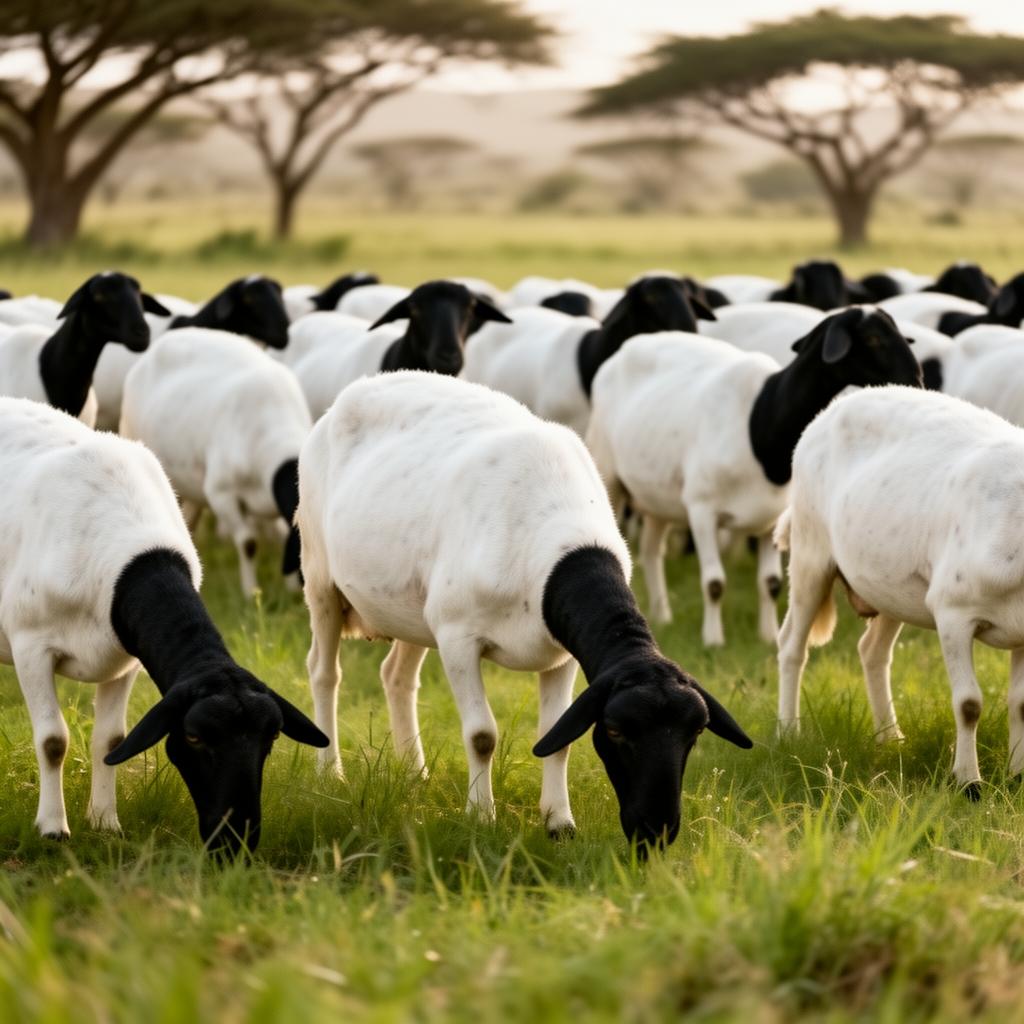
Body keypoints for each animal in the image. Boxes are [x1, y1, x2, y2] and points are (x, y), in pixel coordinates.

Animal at [0, 397, 326, 849]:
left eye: (272, 736)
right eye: (193, 736)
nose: (235, 839)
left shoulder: (123, 660)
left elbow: (110, 740)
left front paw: (105, 822)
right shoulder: (31, 647)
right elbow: (52, 741)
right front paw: (52, 828)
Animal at [297, 371, 752, 848]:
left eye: (695, 733)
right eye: (614, 731)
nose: (656, 832)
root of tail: (363, 386)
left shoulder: (562, 654)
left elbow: (558, 736)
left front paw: (559, 824)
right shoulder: (458, 638)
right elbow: (481, 735)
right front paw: (481, 818)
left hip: (414, 609)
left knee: (396, 677)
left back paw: (414, 775)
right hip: (320, 574)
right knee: (324, 672)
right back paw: (331, 773)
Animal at [586, 307, 922, 646]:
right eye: (873, 337)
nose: (917, 380)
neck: (762, 422)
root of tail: (631, 345)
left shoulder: (769, 521)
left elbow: (771, 583)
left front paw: (768, 635)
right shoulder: (701, 509)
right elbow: (714, 583)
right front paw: (713, 640)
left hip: (657, 496)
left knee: (652, 551)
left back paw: (662, 615)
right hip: (609, 472)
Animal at [775, 385, 1024, 796]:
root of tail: (839, 403)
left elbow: (1020, 703)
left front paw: (1018, 776)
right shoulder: (952, 612)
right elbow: (969, 704)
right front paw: (968, 783)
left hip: (888, 586)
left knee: (871, 651)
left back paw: (891, 739)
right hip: (810, 550)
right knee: (792, 645)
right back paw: (789, 733)